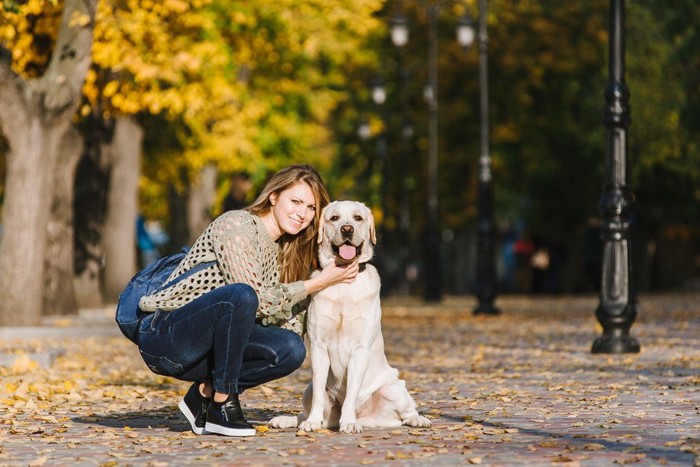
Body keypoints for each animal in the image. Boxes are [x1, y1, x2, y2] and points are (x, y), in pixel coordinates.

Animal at [270, 201, 430, 436]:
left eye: (358, 218)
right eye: (334, 218)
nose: (347, 229)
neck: (343, 282)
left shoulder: (360, 349)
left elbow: (352, 393)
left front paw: (349, 422)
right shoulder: (318, 347)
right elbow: (318, 396)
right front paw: (313, 422)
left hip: (394, 387)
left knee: (407, 413)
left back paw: (417, 420)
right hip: (308, 389)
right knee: (305, 411)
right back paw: (288, 420)